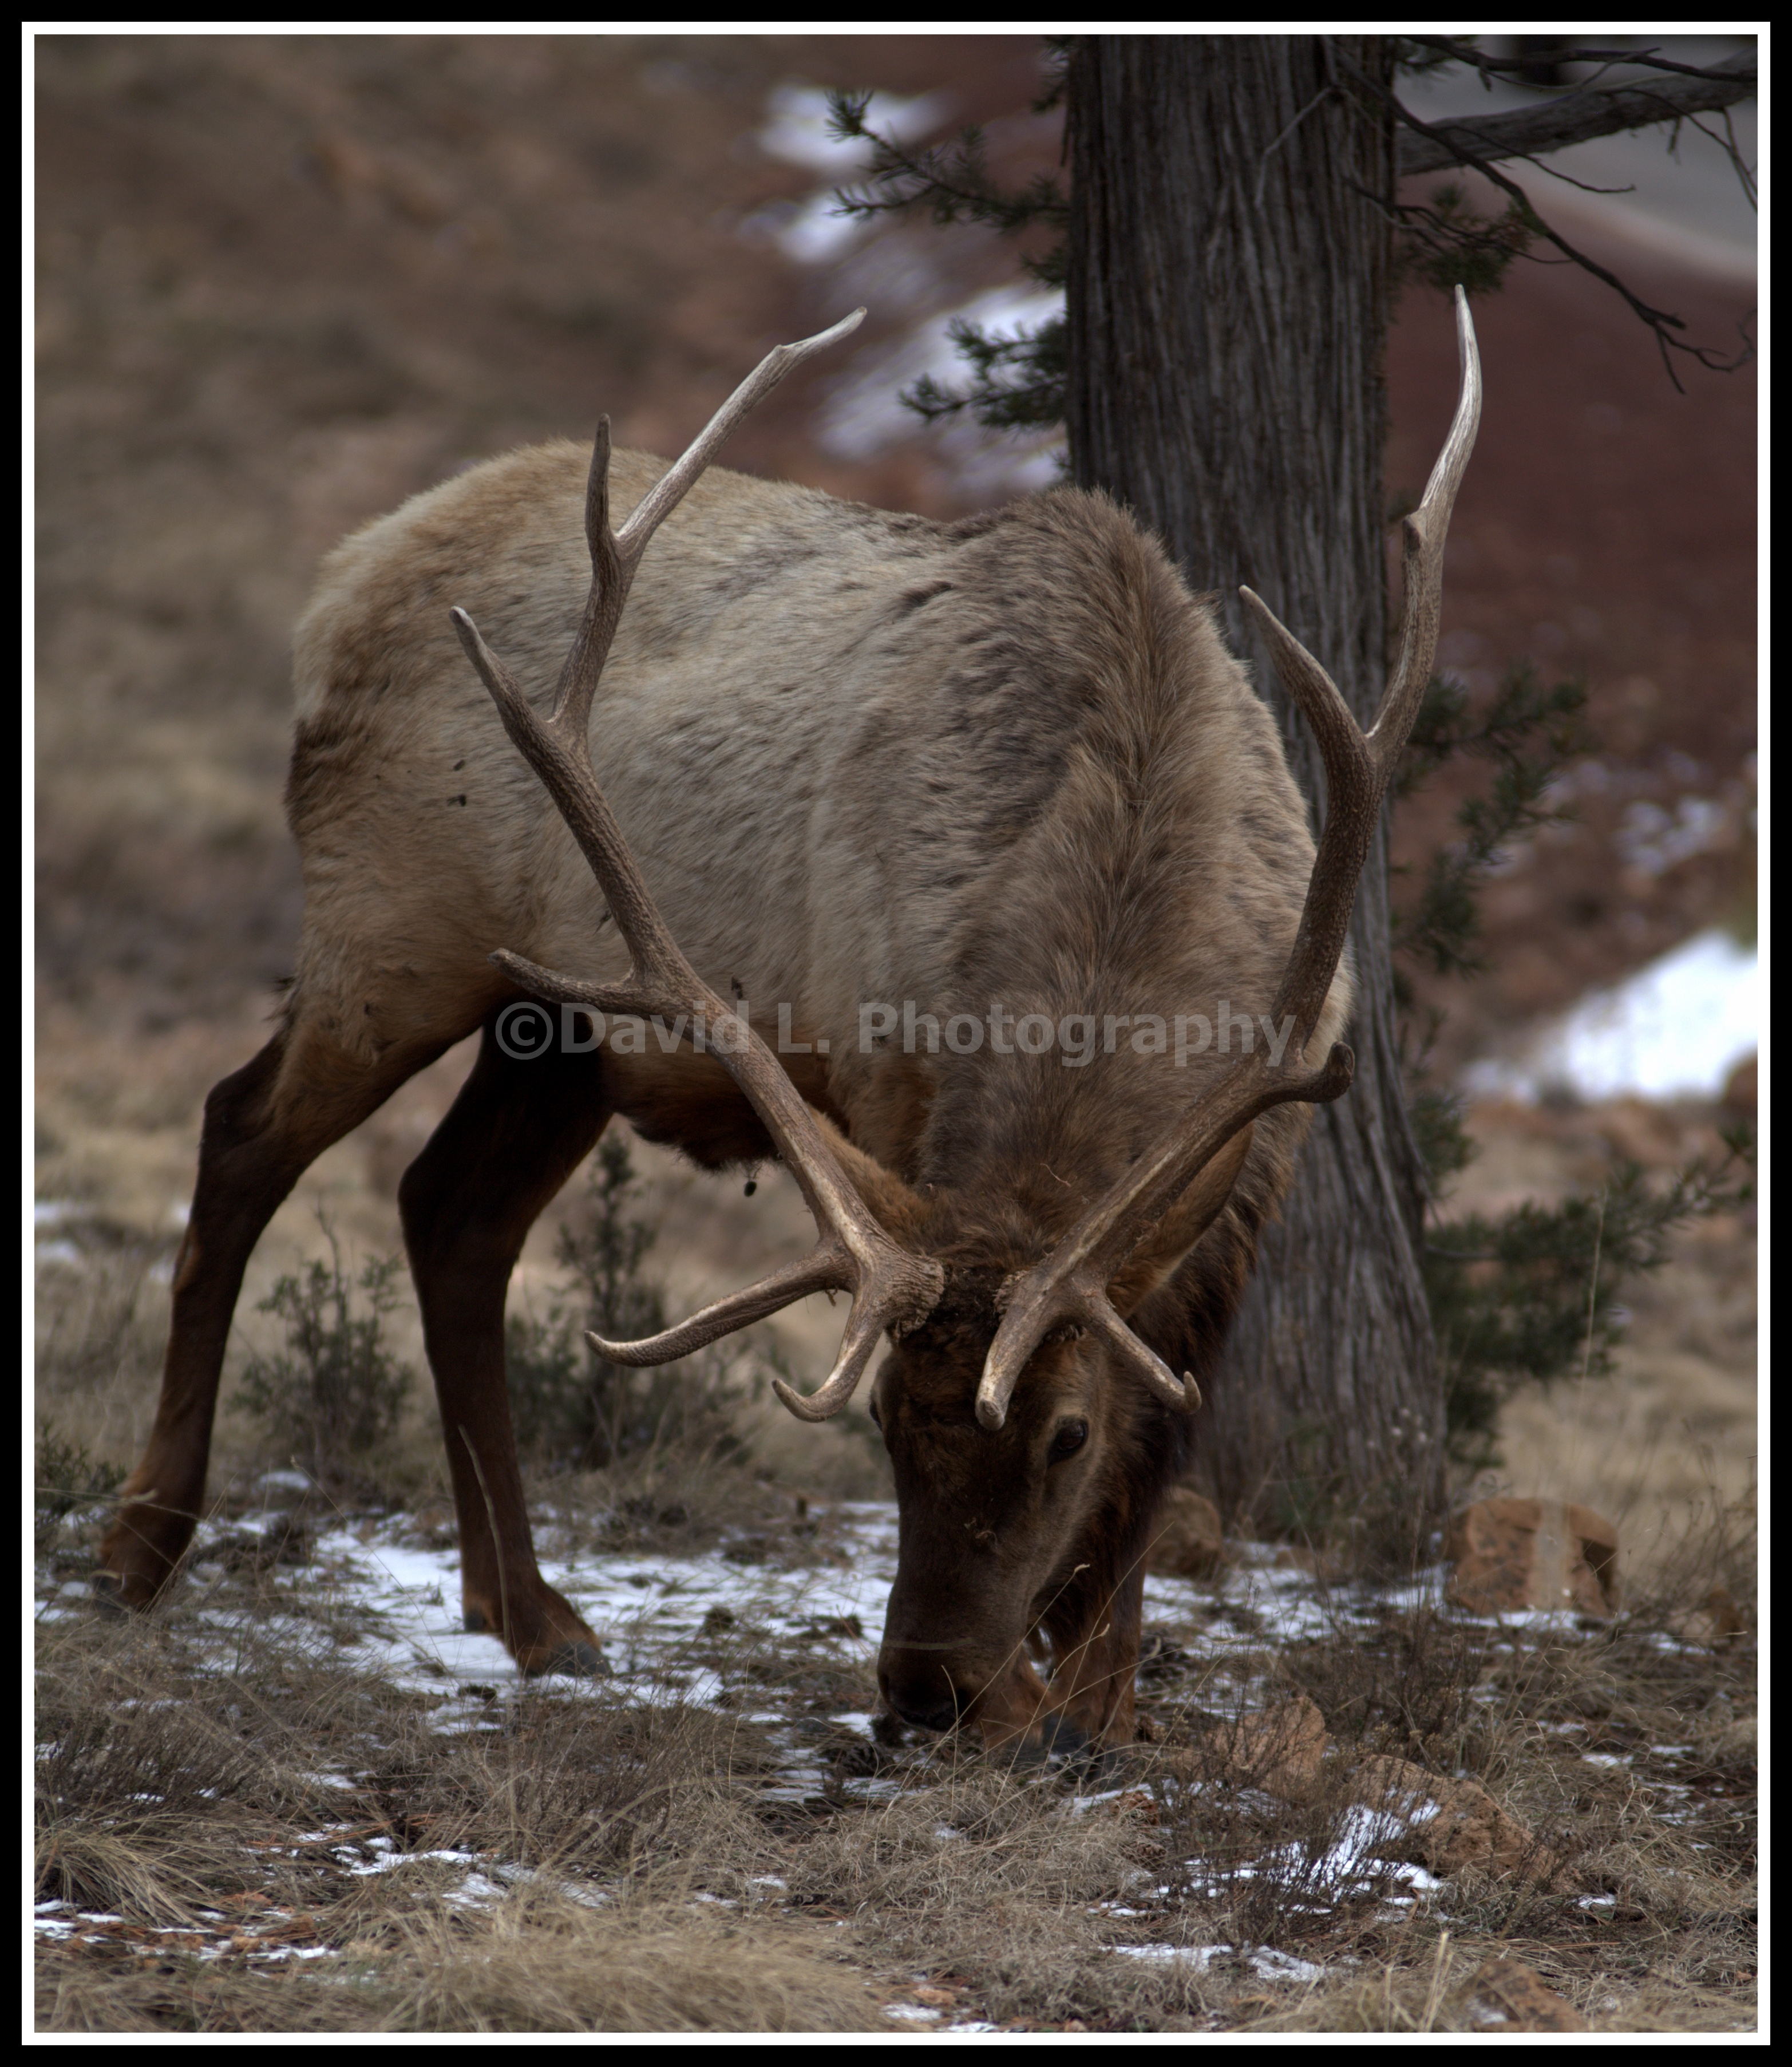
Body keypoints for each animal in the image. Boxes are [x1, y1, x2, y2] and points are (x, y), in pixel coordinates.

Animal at [105, 291, 1488, 1744]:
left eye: (1063, 1433)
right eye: (881, 1416)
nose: (931, 1684)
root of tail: (339, 582)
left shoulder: (1260, 1155)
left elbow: (1167, 1426)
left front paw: (1099, 1700)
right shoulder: (886, 1084)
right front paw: (1059, 1698)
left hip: (560, 1018)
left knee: (450, 1210)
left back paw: (527, 1610)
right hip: (388, 926)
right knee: (242, 1131)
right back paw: (142, 1538)